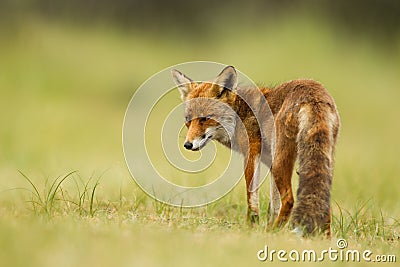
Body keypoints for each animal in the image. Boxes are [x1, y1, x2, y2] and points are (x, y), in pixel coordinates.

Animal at [172, 66, 340, 238]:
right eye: (188, 120)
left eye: (205, 118)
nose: (187, 144)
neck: (240, 115)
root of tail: (314, 93)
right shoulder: (269, 164)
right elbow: (274, 206)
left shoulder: (252, 152)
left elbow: (252, 196)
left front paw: (251, 226)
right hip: (321, 161)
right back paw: (324, 238)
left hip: (280, 162)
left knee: (289, 199)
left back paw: (273, 232)